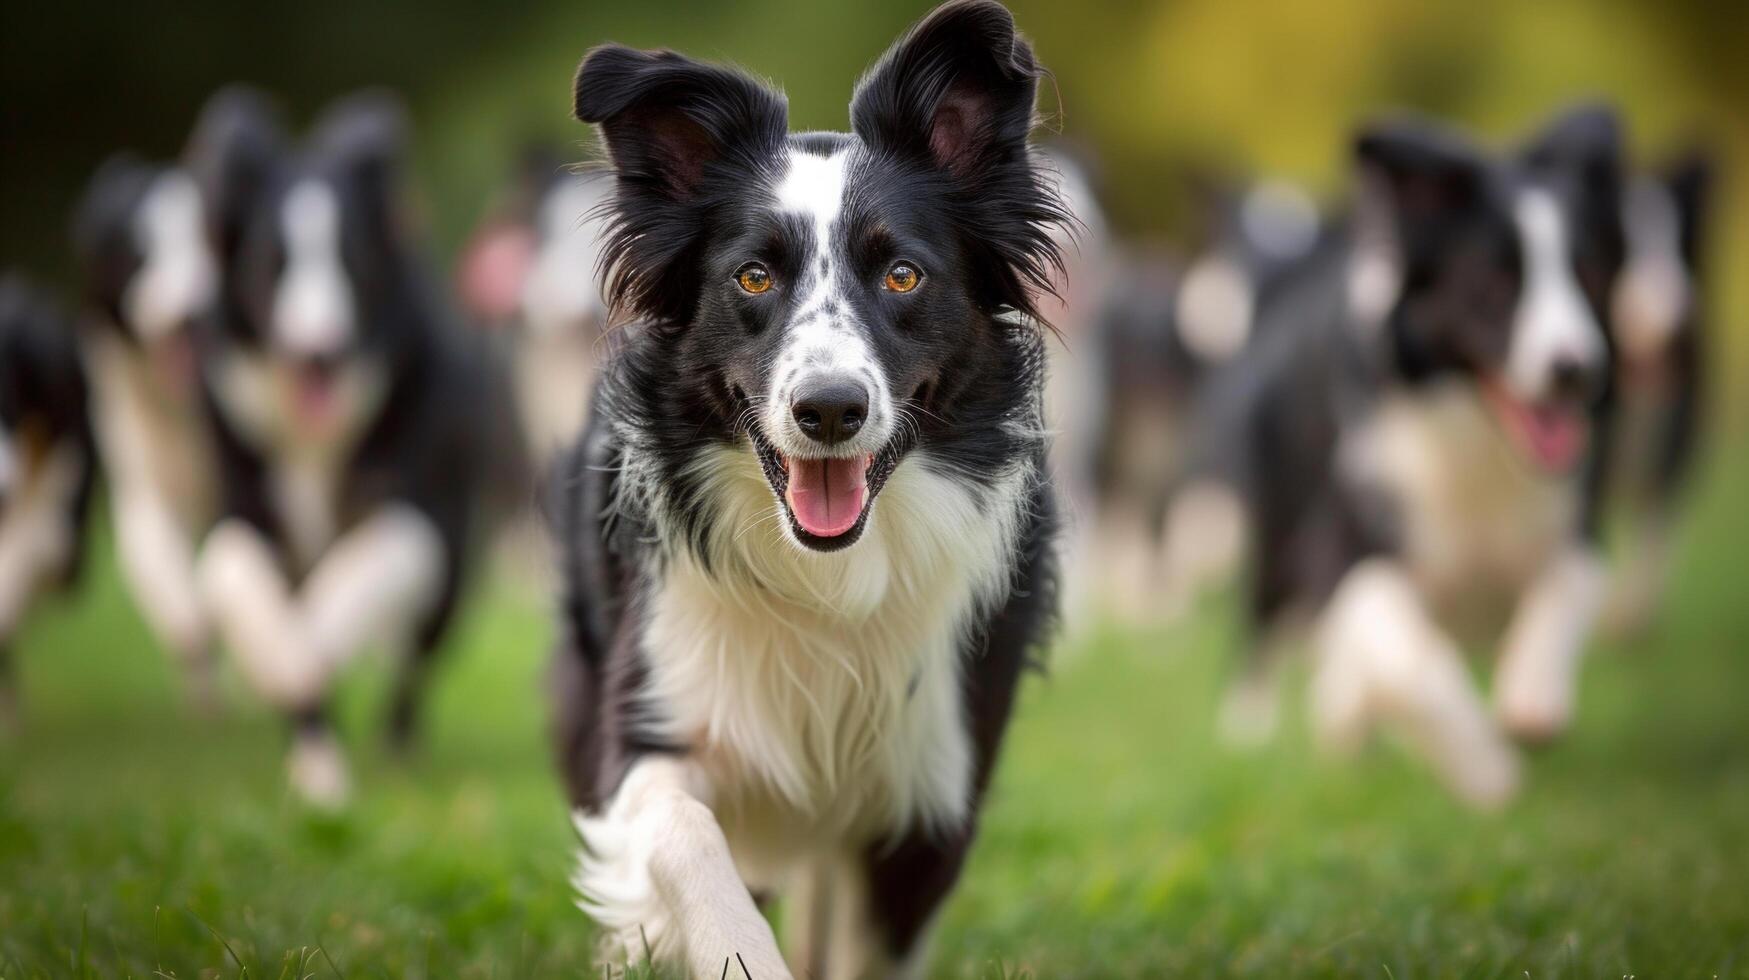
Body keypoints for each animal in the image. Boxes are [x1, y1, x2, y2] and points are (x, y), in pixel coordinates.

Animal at [549, 3, 1063, 973]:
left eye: (902, 274)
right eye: (753, 276)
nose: (829, 409)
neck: (828, 576)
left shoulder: (928, 794)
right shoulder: (649, 720)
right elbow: (684, 835)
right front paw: (727, 946)